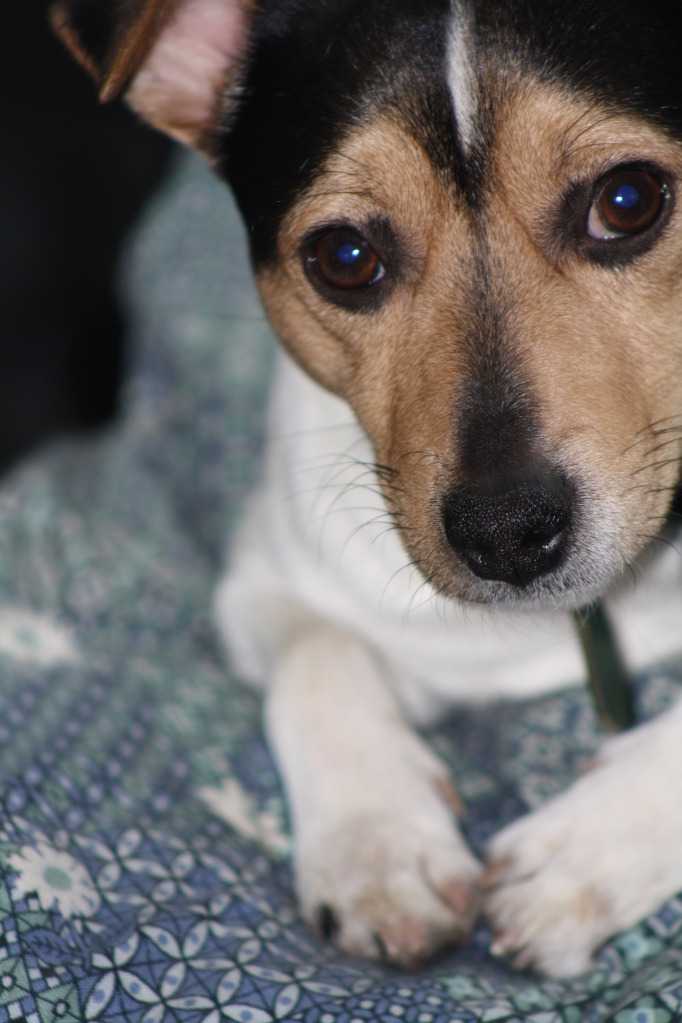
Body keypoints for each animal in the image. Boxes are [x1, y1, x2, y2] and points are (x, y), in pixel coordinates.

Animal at [54, 0, 682, 977]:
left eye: (628, 201)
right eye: (345, 255)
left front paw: (582, 853)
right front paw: (378, 846)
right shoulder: (265, 577)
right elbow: (320, 654)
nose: (506, 531)